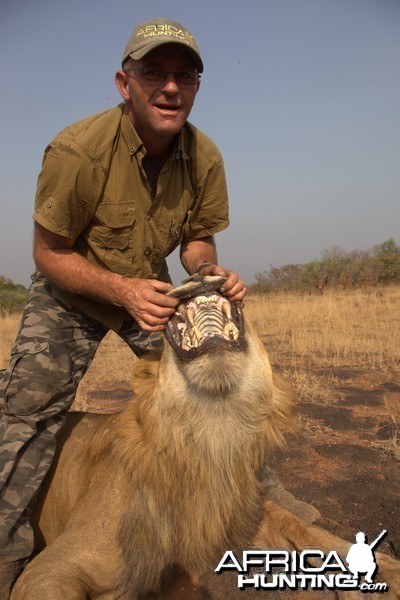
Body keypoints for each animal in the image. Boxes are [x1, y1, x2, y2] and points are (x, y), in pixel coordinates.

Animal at [10, 278, 400, 600]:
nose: (198, 274)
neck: (214, 429)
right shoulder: (51, 568)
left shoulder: (239, 511)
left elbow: (305, 528)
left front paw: (388, 570)